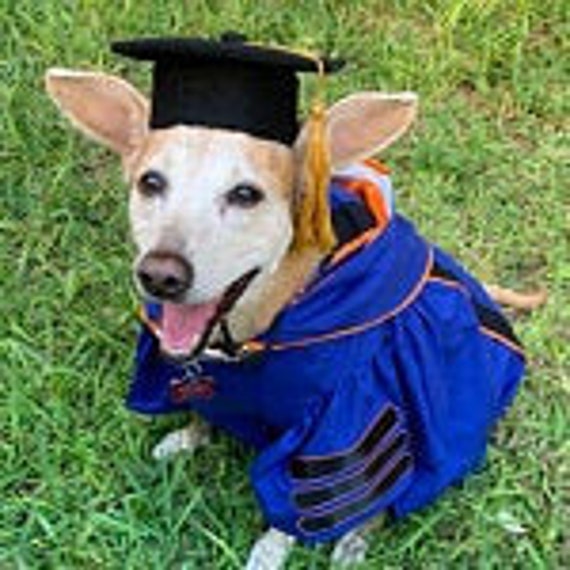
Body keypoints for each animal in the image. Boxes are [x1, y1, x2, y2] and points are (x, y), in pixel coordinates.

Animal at [45, 65, 544, 564]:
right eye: (150, 183)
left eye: (246, 194)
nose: (160, 275)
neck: (248, 333)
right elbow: (201, 415)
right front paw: (187, 438)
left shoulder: (335, 428)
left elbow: (296, 513)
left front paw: (269, 553)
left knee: (378, 504)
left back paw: (353, 542)